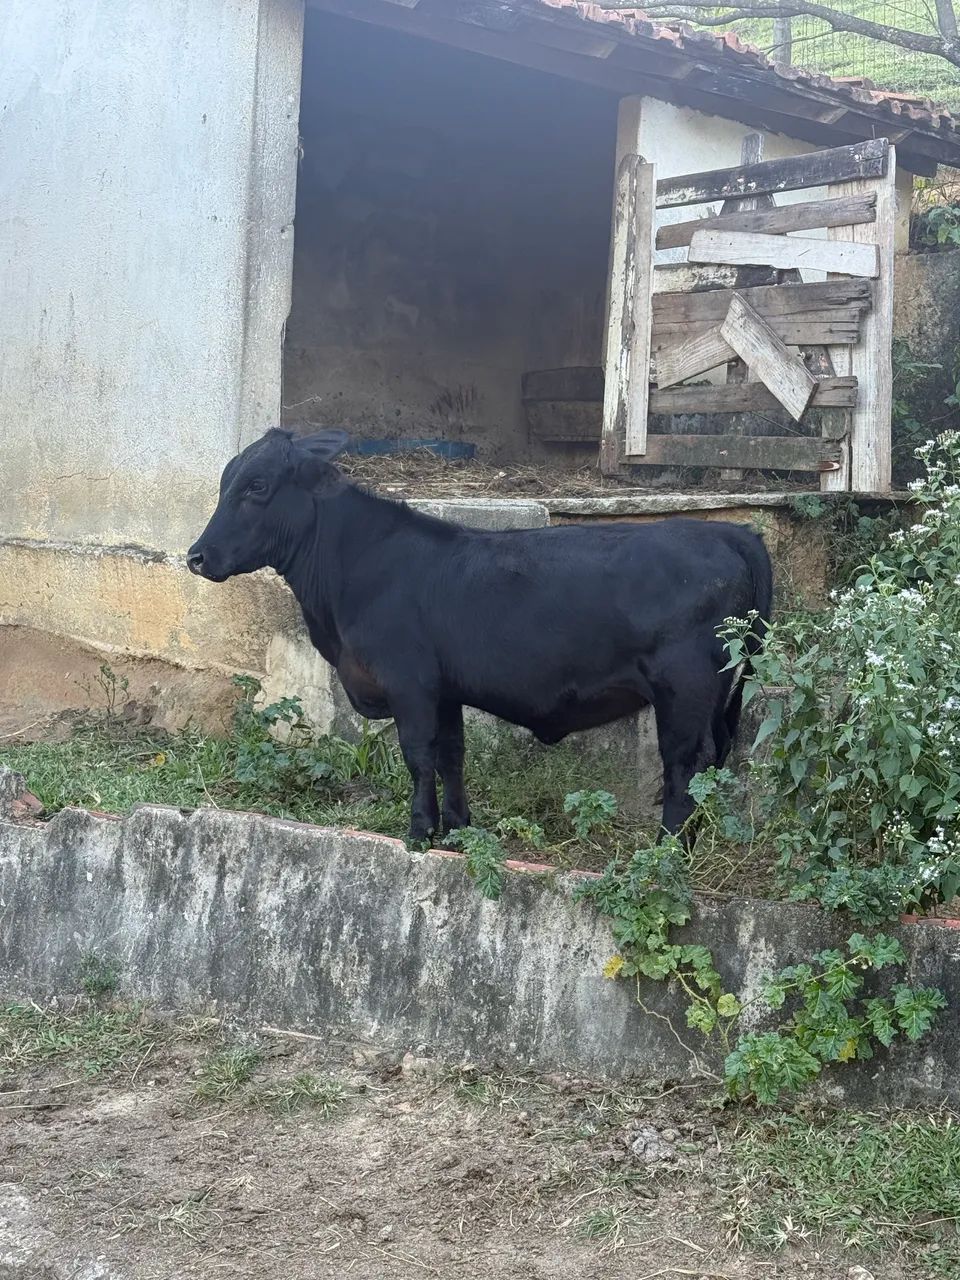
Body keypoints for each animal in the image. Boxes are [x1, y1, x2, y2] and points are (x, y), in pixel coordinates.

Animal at [187, 429, 772, 844]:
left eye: (256, 486)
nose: (196, 556)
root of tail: (727, 531)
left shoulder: (410, 682)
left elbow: (419, 754)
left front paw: (419, 832)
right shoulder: (444, 691)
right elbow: (451, 754)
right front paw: (457, 827)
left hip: (685, 688)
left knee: (686, 763)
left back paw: (666, 851)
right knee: (712, 760)